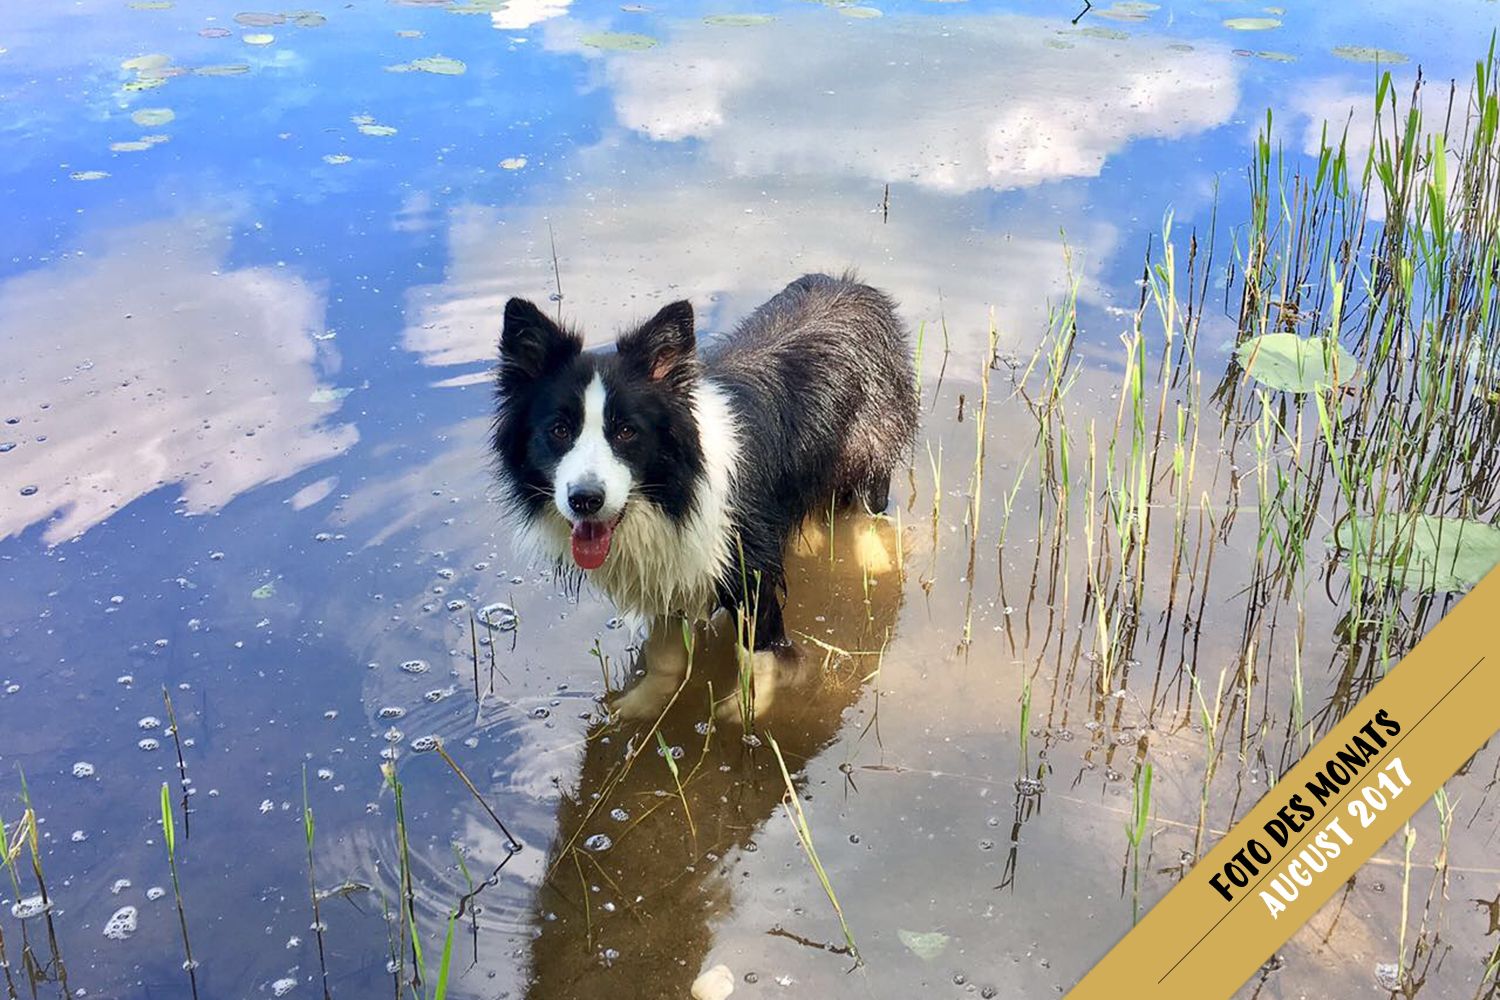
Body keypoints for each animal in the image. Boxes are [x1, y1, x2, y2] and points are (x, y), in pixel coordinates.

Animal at [492, 269, 912, 716]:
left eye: (626, 431)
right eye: (559, 430)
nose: (585, 500)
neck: (673, 493)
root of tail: (855, 285)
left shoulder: (746, 559)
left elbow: (761, 647)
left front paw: (749, 706)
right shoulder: (666, 565)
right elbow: (664, 654)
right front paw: (638, 705)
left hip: (871, 443)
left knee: (866, 512)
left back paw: (873, 560)